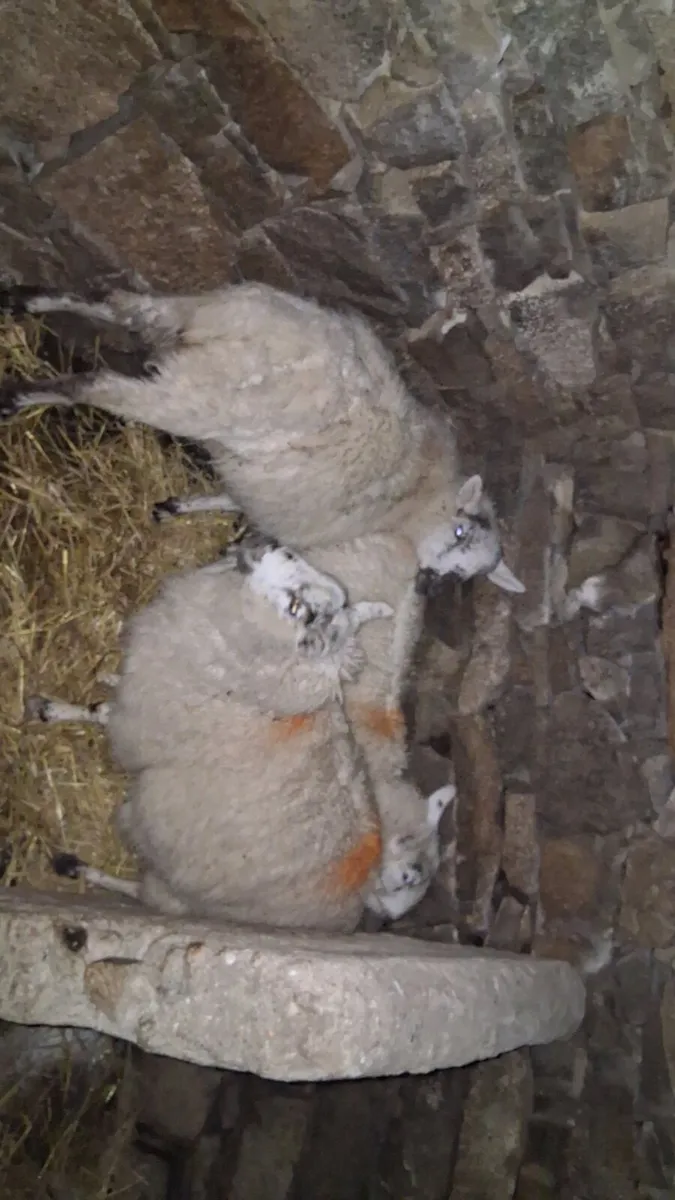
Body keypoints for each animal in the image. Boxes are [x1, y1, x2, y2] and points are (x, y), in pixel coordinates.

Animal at [32, 534, 397, 933]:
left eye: (297, 608)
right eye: (290, 557)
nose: (262, 544)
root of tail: (347, 913)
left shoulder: (144, 718)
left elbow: (101, 713)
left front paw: (51, 709)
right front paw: (102, 681)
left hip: (187, 889)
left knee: (141, 893)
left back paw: (77, 867)